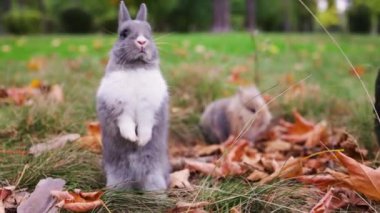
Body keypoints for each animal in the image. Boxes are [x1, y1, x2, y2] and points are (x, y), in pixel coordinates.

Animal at [95, 1, 170, 191]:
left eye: (149, 32)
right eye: (124, 33)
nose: (142, 41)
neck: (136, 67)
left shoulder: (149, 107)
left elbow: (146, 124)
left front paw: (141, 141)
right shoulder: (118, 105)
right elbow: (125, 122)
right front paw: (131, 138)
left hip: (153, 171)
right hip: (117, 172)